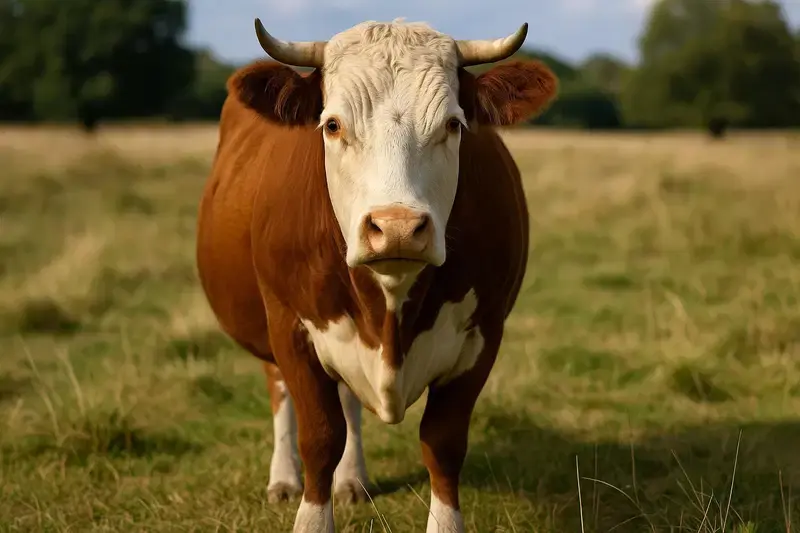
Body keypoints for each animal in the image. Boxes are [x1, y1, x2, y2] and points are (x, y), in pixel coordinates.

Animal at [196, 16, 558, 533]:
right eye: (332, 124)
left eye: (453, 124)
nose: (397, 228)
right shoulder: (289, 326)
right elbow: (319, 437)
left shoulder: (484, 334)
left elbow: (443, 443)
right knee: (280, 391)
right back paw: (283, 478)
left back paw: (352, 480)